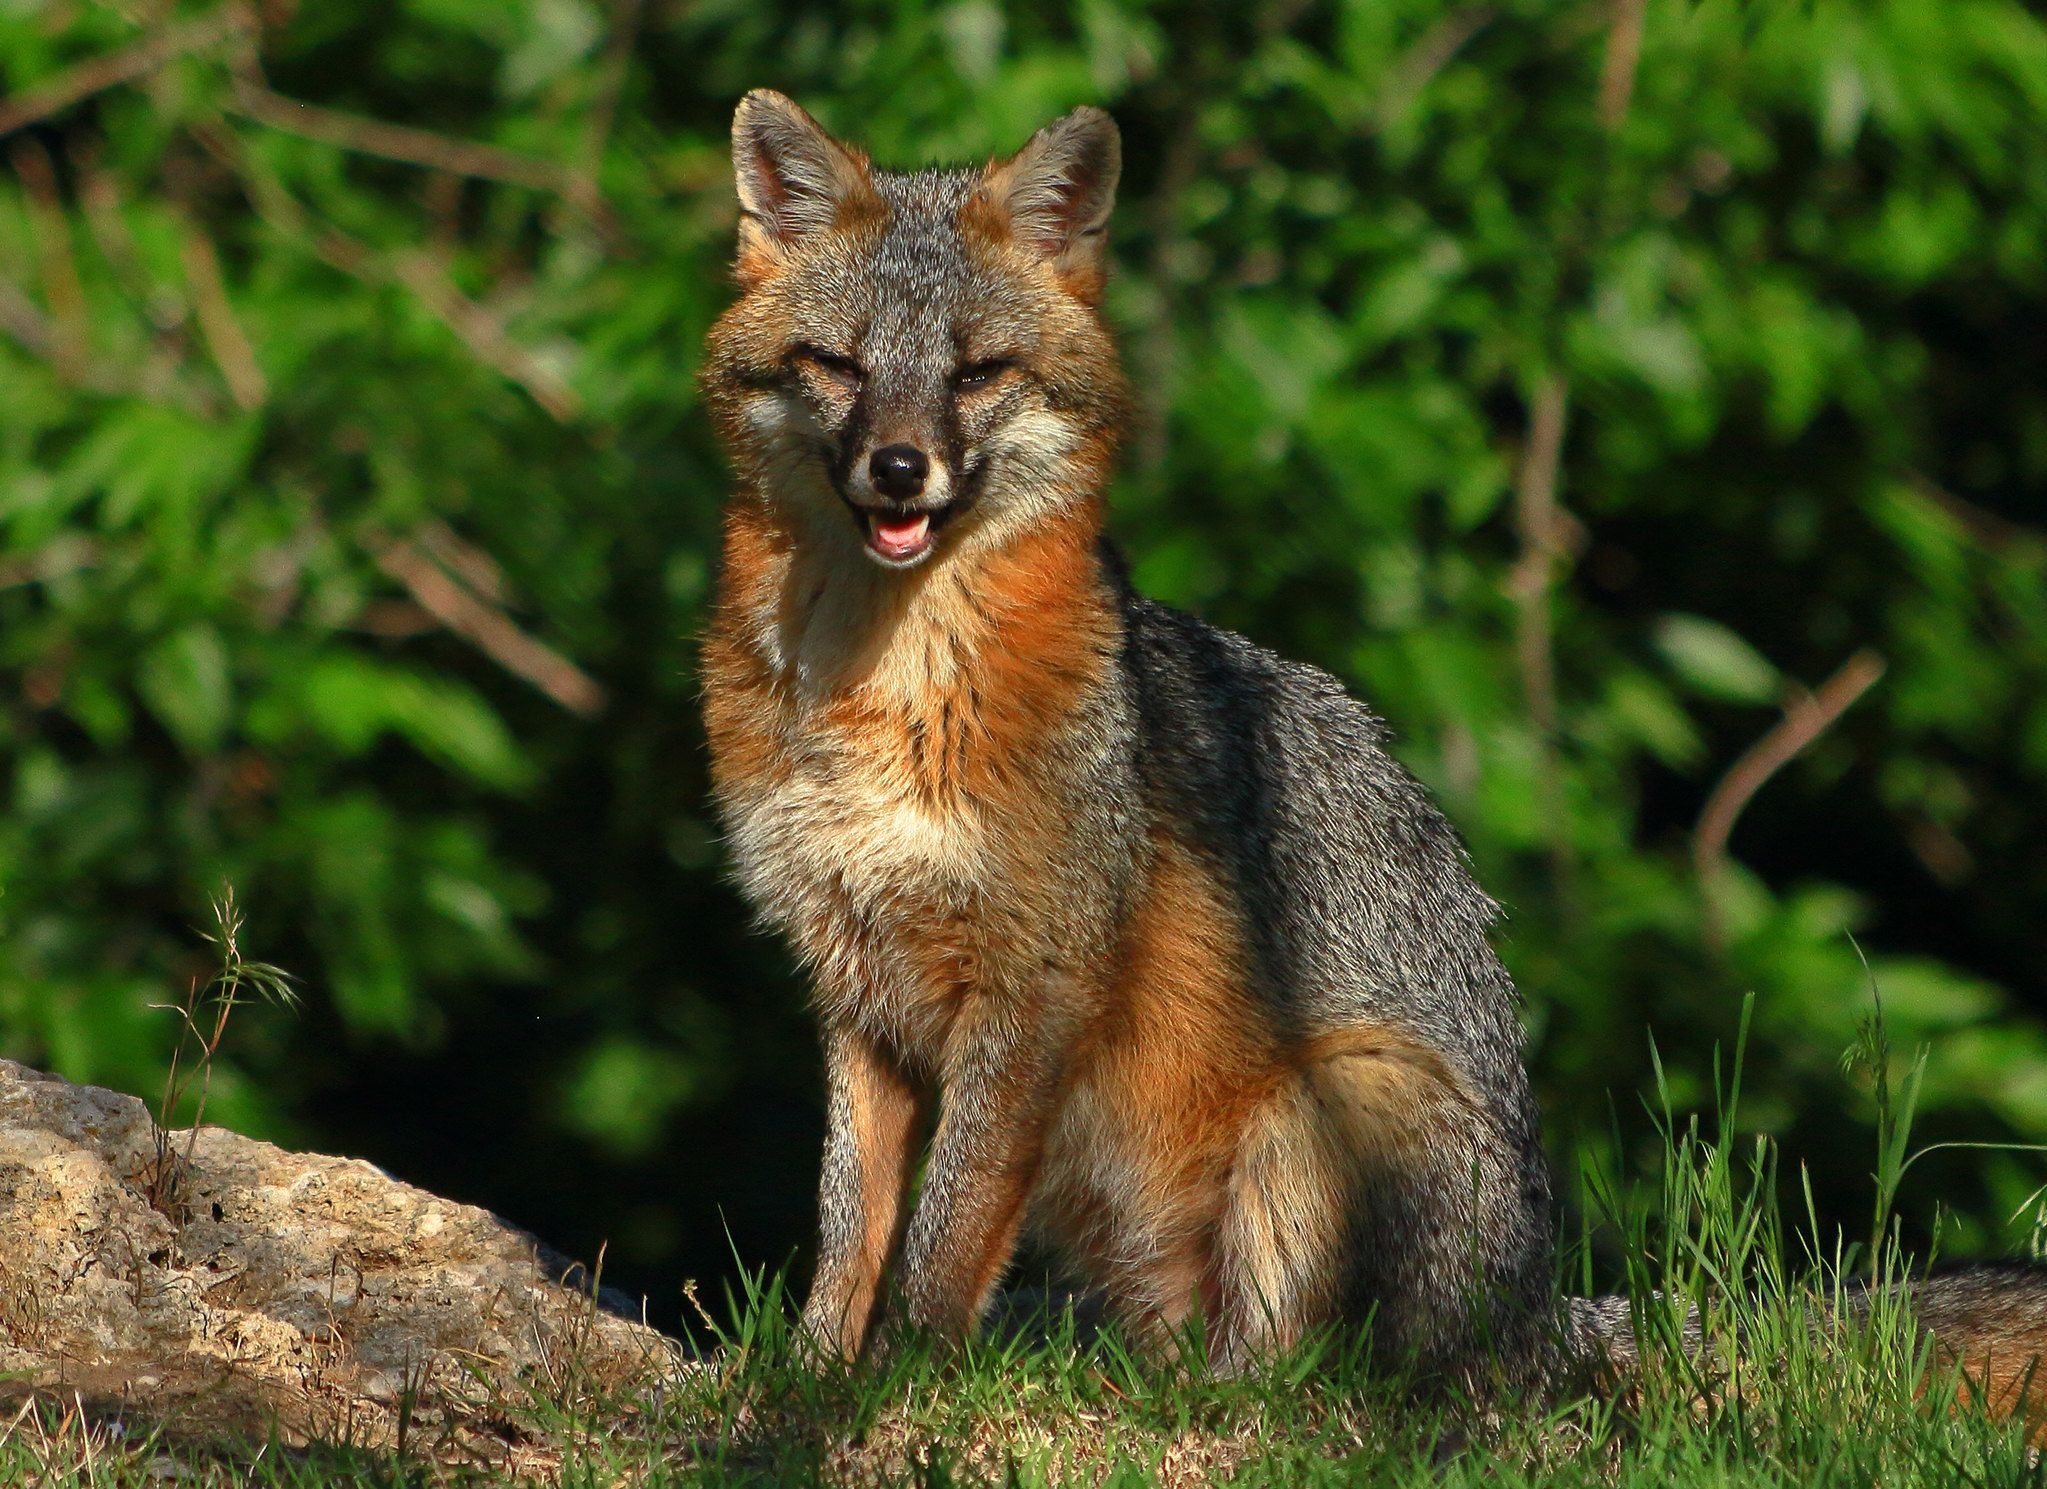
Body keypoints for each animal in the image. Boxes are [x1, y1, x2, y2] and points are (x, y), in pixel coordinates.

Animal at [700, 87, 2046, 1417]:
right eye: (838, 365)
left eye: (978, 371)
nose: (898, 468)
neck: (878, 699)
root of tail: (1533, 1311)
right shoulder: (855, 984)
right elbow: (849, 1223)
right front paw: (806, 1381)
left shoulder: (1037, 981)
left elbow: (945, 1229)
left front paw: (898, 1382)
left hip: (1334, 1102)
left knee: (1311, 1392)